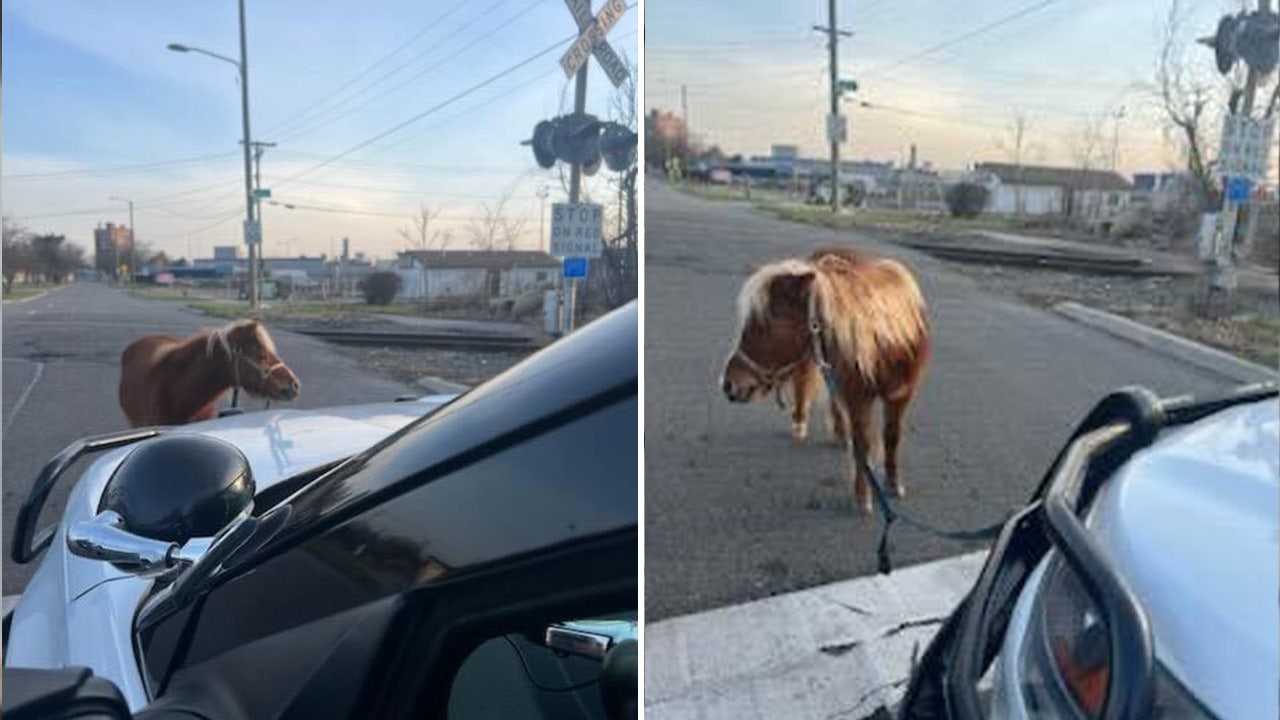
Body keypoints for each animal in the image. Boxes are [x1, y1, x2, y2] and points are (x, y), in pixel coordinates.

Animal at [721, 245, 931, 509]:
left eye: (766, 325)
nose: (728, 384)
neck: (886, 345)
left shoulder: (902, 394)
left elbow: (892, 436)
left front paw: (894, 485)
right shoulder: (858, 396)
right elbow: (862, 443)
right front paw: (863, 497)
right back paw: (810, 426)